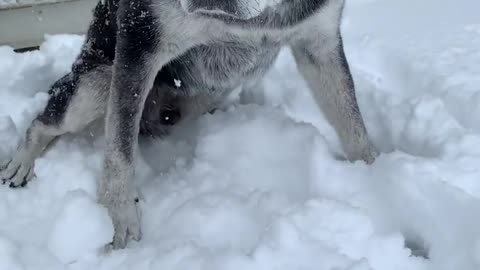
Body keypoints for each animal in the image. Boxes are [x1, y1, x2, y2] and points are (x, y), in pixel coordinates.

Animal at [0, 0, 378, 249]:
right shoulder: (140, 40)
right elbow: (119, 155)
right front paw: (117, 221)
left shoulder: (319, 40)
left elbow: (352, 124)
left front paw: (373, 170)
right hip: (97, 83)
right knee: (44, 122)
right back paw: (20, 163)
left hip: (206, 94)